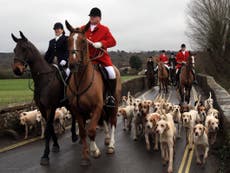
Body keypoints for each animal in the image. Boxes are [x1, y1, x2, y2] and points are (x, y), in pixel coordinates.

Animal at [11, 31, 78, 166]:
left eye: (24, 48)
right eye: (14, 49)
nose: (17, 70)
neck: (43, 79)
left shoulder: (50, 107)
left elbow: (47, 129)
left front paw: (45, 155)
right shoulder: (42, 108)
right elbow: (50, 127)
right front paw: (55, 145)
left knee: (74, 115)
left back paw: (75, 135)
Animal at [65, 21, 122, 166]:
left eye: (83, 41)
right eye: (68, 40)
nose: (73, 64)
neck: (81, 81)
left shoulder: (96, 107)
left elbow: (91, 130)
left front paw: (94, 151)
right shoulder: (77, 110)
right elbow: (83, 132)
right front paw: (85, 157)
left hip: (115, 103)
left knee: (113, 121)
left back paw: (111, 145)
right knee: (105, 119)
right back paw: (107, 139)